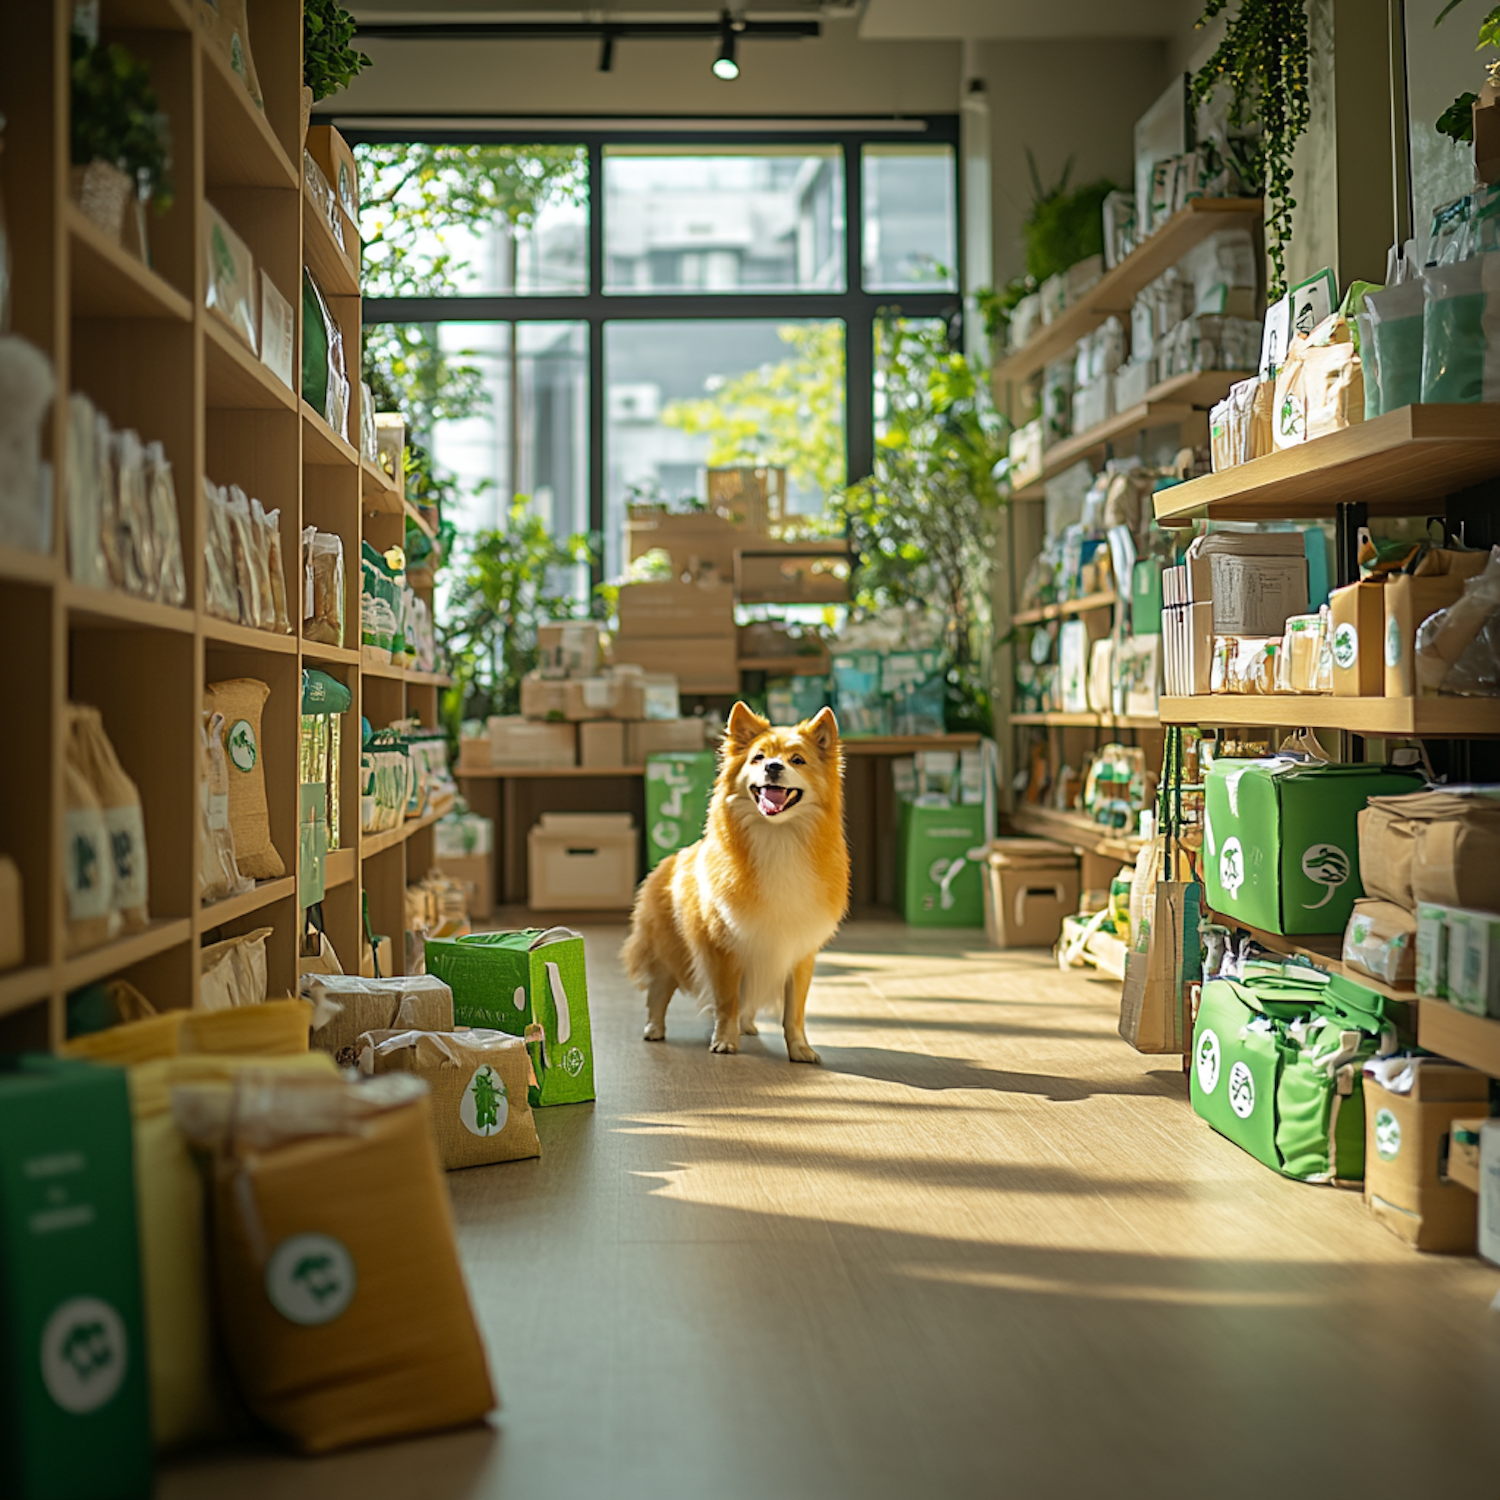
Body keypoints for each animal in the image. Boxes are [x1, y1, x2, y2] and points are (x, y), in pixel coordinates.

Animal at [621, 702, 852, 1068]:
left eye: (797, 760)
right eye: (758, 758)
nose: (773, 767)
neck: (777, 838)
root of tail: (668, 862)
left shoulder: (799, 953)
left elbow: (794, 1012)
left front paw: (800, 1049)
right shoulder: (724, 949)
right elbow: (726, 1001)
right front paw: (724, 1042)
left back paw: (748, 1026)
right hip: (668, 950)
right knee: (659, 990)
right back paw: (654, 1029)